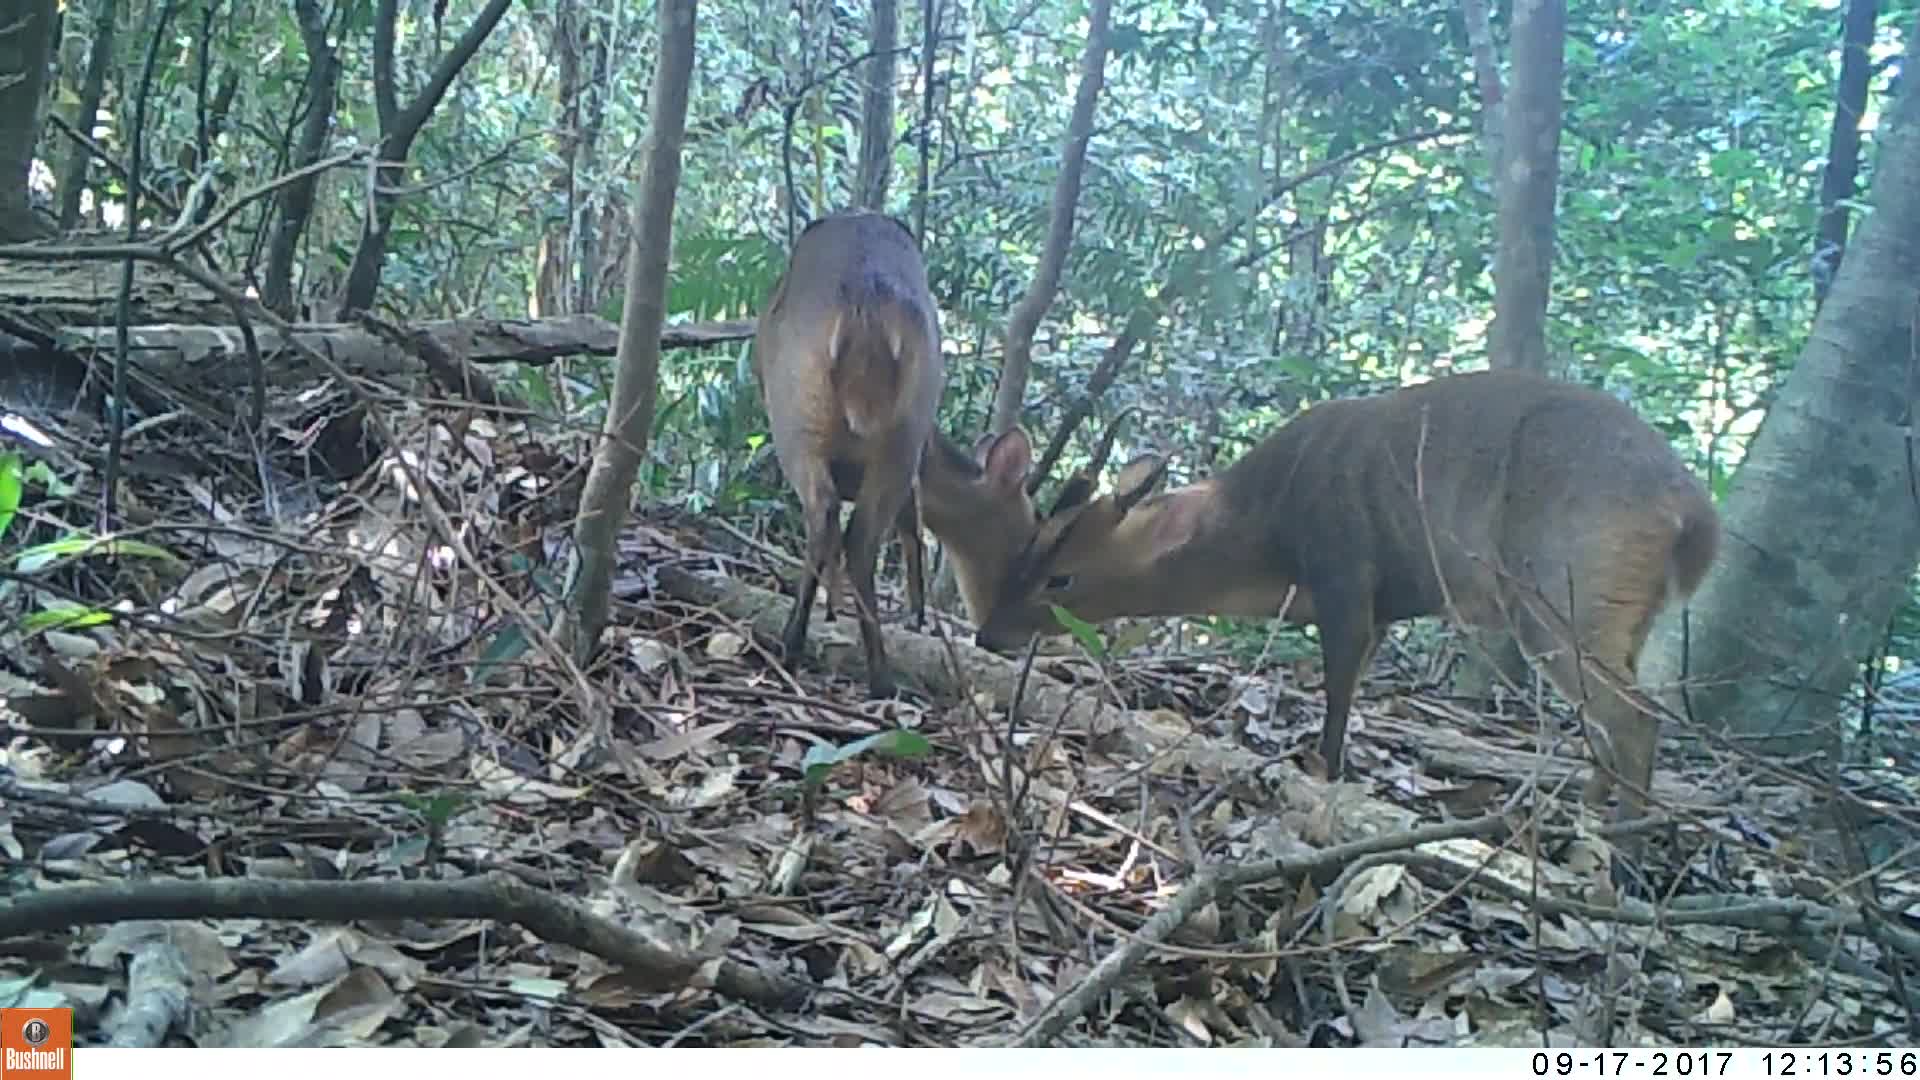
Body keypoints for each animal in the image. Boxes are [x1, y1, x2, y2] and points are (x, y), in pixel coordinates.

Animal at [967, 365, 1720, 818]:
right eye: (1027, 546)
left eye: (1062, 576)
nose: (988, 632)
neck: (1265, 529)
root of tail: (1694, 515)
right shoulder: (1379, 606)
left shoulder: (1345, 570)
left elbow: (1336, 699)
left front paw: (1324, 778)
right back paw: (1591, 809)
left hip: (1565, 586)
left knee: (1635, 714)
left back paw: (1620, 844)